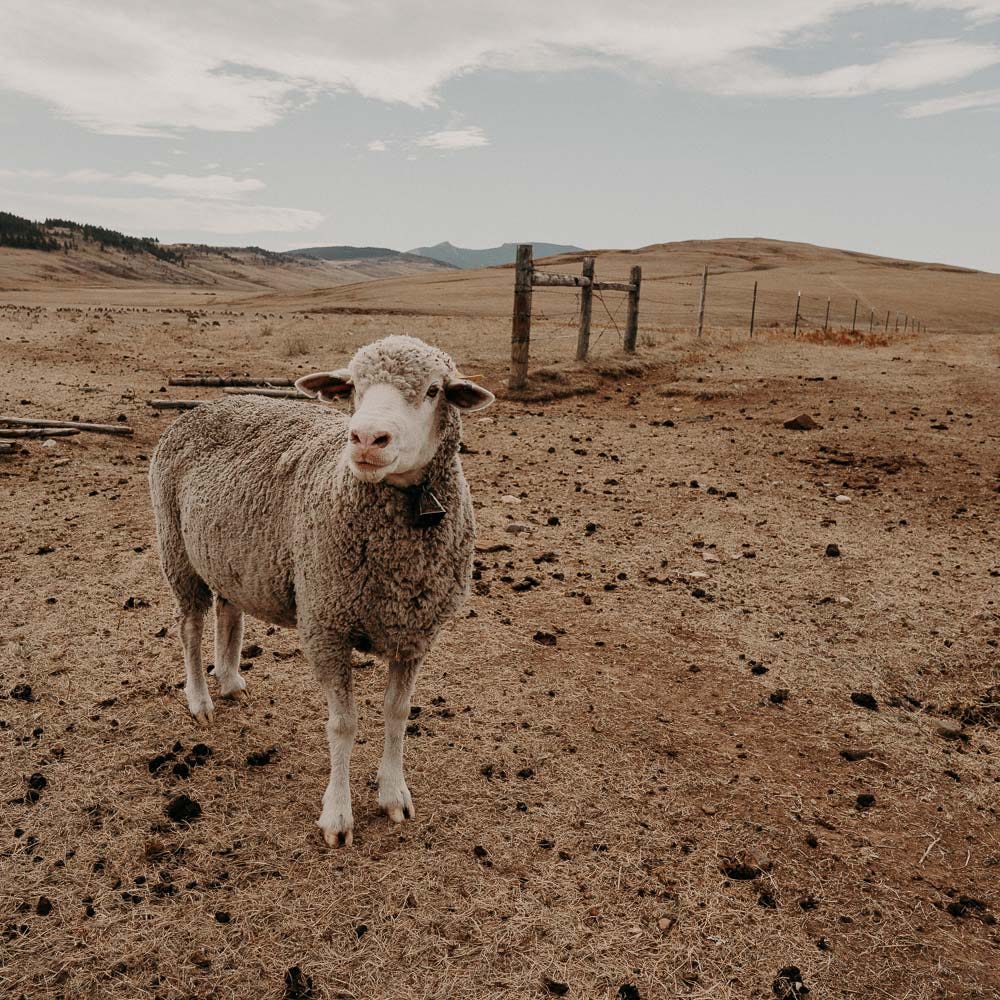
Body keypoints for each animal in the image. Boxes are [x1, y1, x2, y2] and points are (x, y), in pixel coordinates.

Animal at [150, 334, 494, 844]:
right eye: (353, 387)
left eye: (435, 390)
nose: (367, 439)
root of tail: (206, 405)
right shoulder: (325, 625)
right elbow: (343, 725)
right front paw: (337, 816)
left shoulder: (415, 633)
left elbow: (397, 713)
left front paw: (394, 795)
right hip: (176, 546)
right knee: (190, 626)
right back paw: (201, 700)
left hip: (230, 555)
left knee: (229, 611)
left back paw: (230, 680)